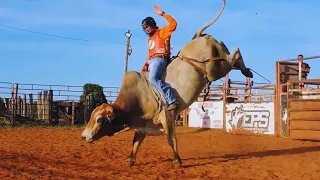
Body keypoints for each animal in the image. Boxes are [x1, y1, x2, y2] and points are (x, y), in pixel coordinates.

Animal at [81, 0, 254, 168]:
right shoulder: (144, 125)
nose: (83, 136)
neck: (139, 98)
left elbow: (171, 139)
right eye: (91, 116)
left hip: (216, 68)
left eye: (100, 119)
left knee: (235, 53)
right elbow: (136, 142)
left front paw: (177, 160)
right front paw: (130, 160)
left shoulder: (167, 116)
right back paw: (247, 71)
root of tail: (198, 37)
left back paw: (247, 72)